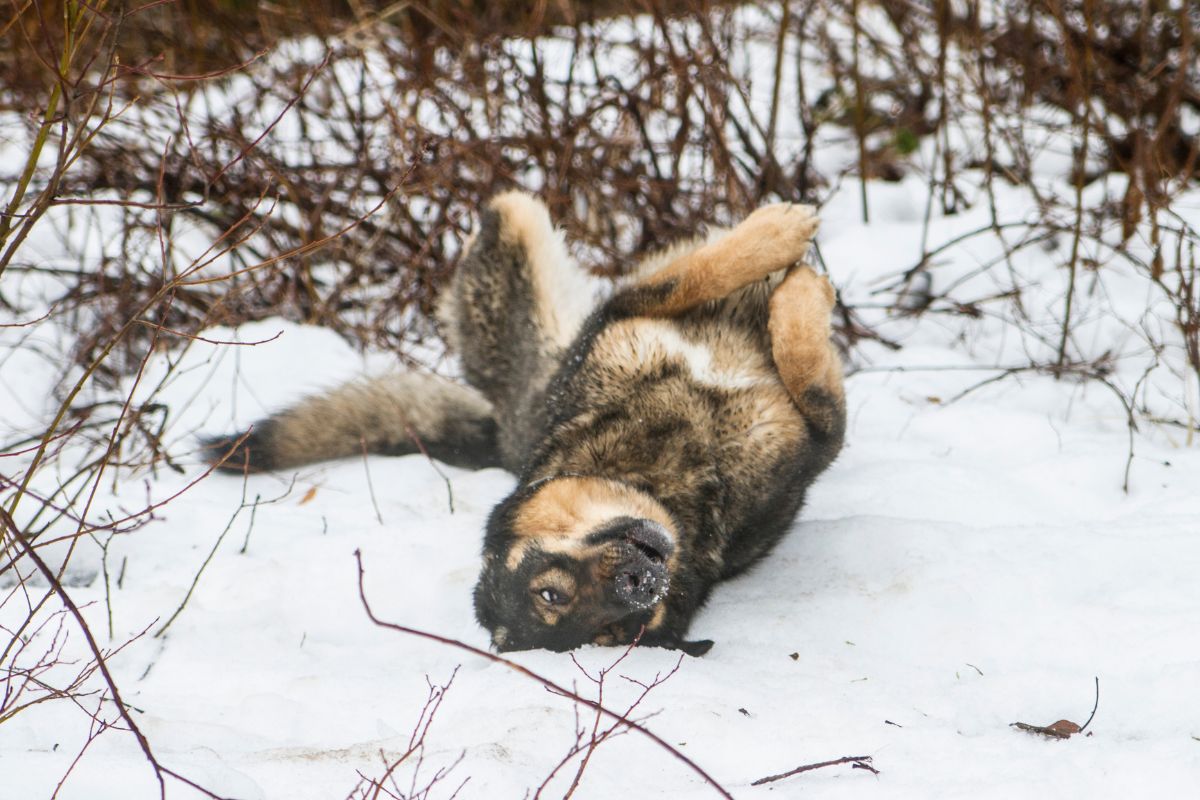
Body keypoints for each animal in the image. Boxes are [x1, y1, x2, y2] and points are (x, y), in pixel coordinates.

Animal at [206, 194, 844, 657]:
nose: (637, 585)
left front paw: (786, 246)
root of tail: (506, 433)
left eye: (549, 587)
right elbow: (809, 378)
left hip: (520, 243)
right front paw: (800, 278)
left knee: (513, 208)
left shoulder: (617, 319)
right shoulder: (821, 435)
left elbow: (694, 280)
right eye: (616, 627)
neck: (667, 470)